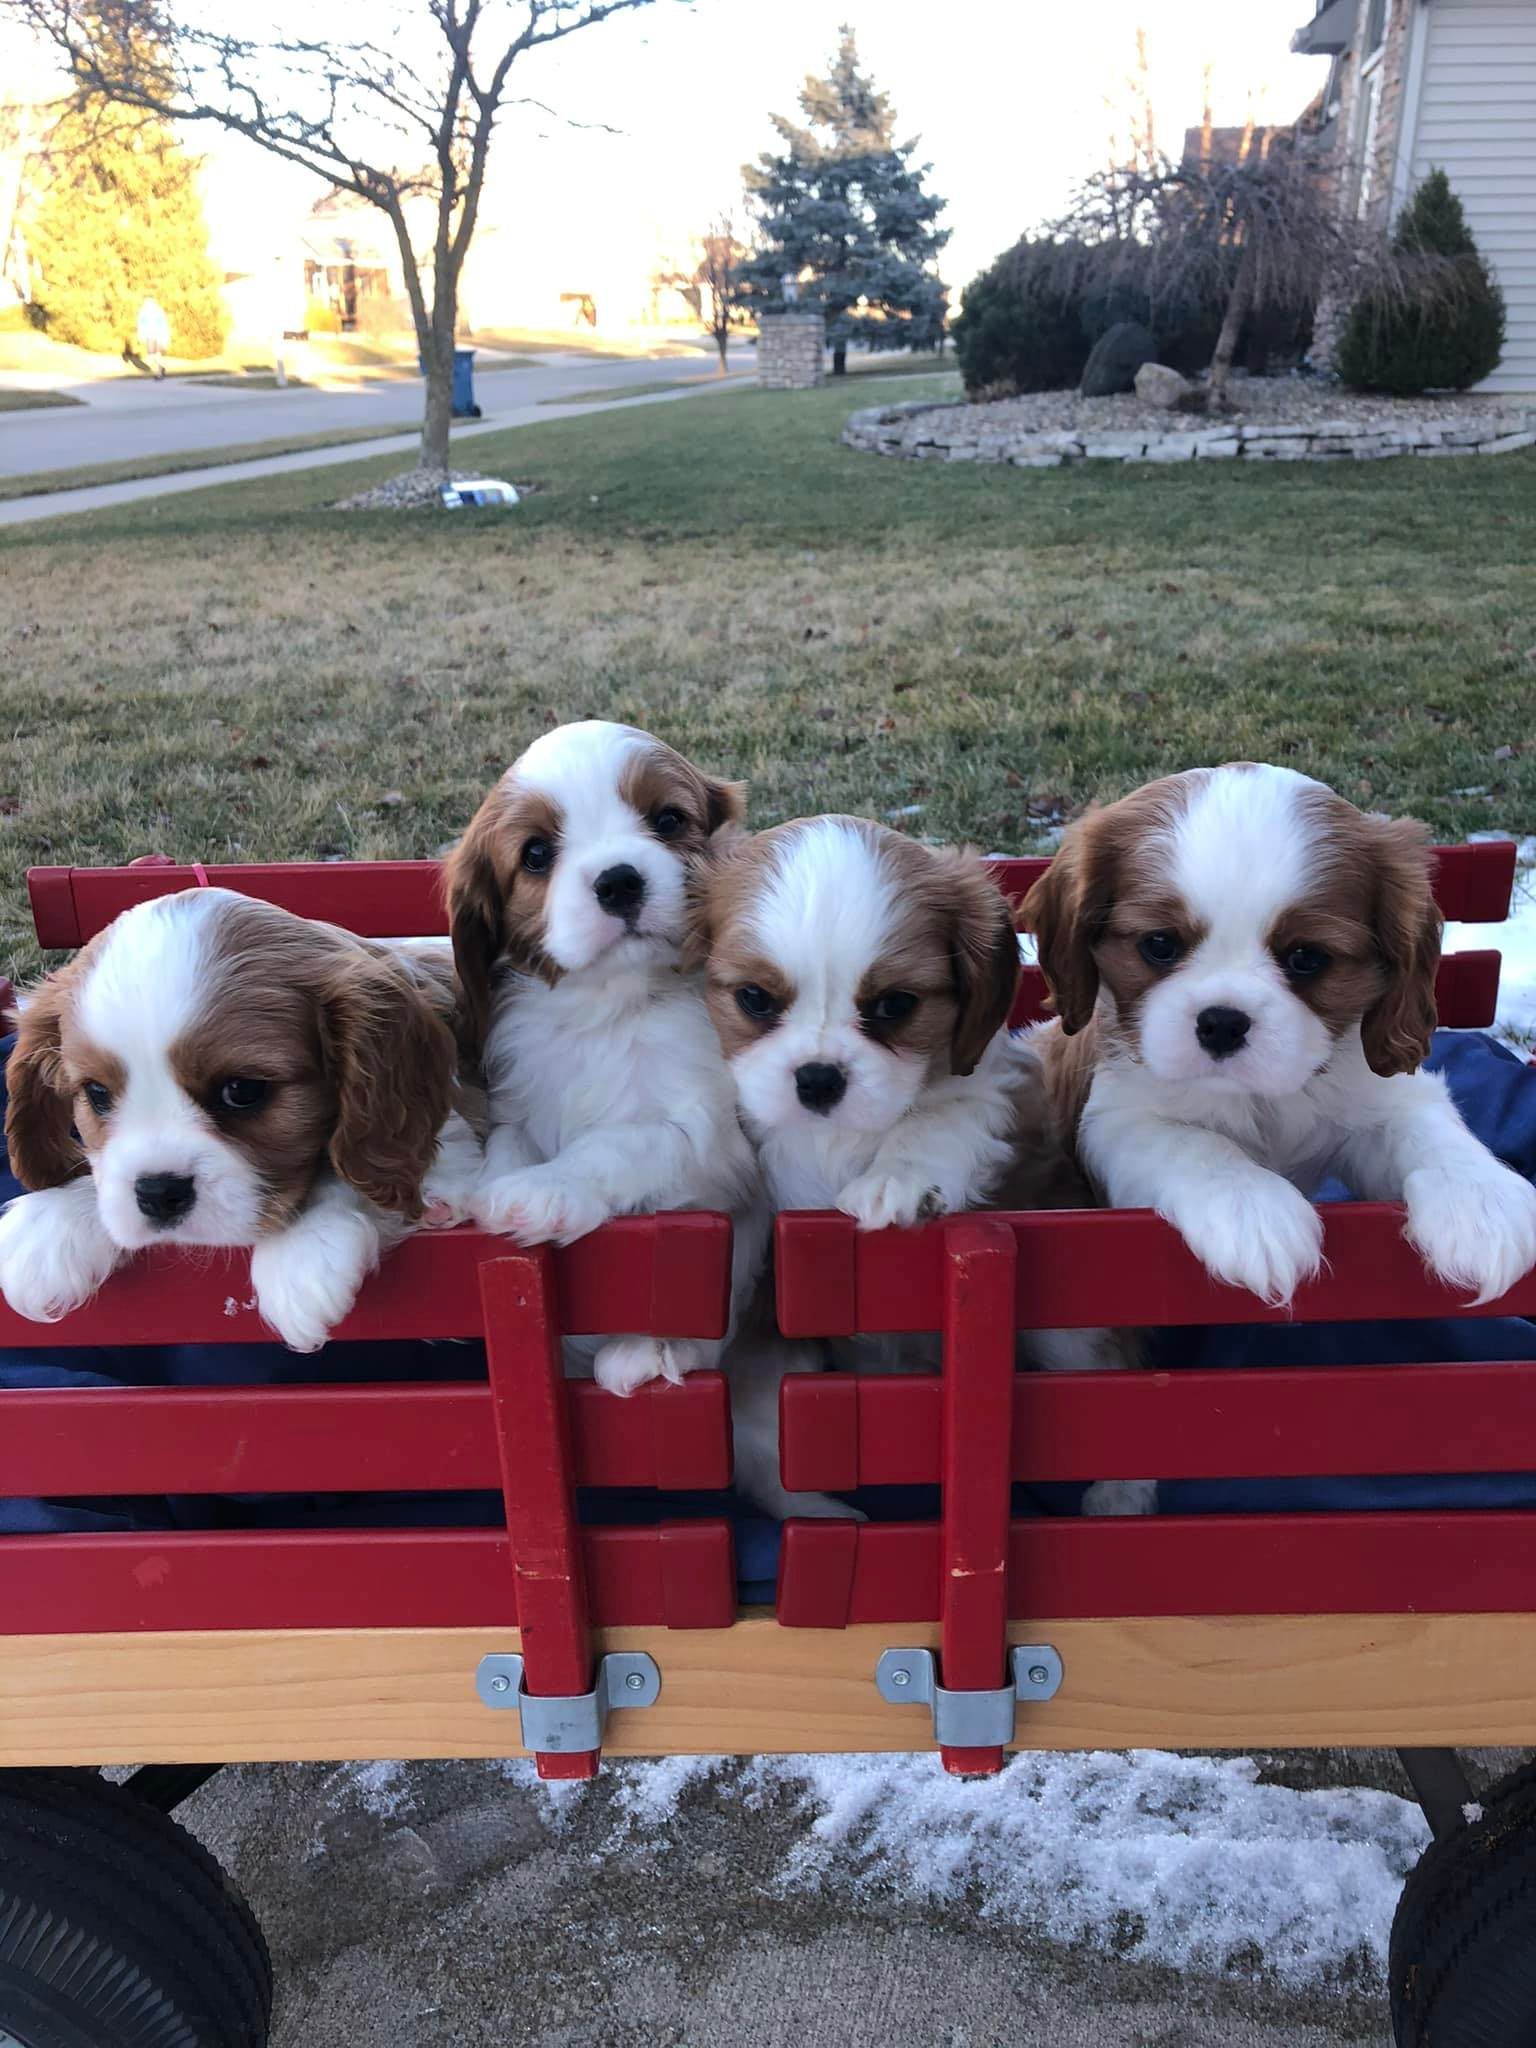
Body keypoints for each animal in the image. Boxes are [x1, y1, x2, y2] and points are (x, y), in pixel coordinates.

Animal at [444, 712, 765, 1400]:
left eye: (668, 820)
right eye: (536, 854)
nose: (619, 880)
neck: (611, 1005)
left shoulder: (717, 1141)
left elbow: (623, 1142)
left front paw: (541, 1190)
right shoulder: (522, 1101)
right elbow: (510, 1143)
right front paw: (489, 1188)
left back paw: (654, 1346)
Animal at [1024, 761, 1536, 1302]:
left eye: (1307, 957)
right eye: (1159, 945)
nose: (1222, 1023)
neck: (1260, 1098)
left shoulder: (1380, 1093)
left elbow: (1424, 1126)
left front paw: (1483, 1201)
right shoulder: (1116, 1118)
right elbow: (1191, 1142)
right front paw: (1249, 1207)